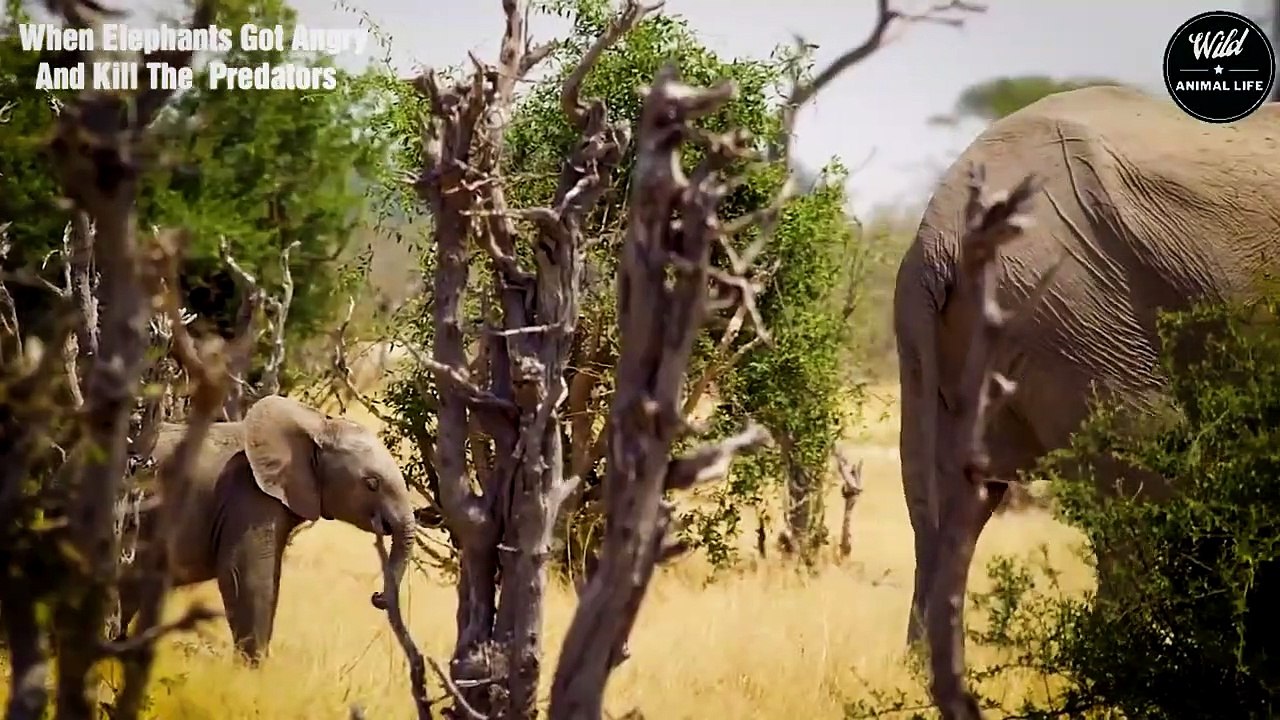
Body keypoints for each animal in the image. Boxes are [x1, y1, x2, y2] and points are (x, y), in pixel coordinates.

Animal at [116, 395, 416, 662]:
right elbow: (246, 575)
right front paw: (251, 672)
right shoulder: (247, 494)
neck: (317, 425)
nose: (377, 597)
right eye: (372, 483)